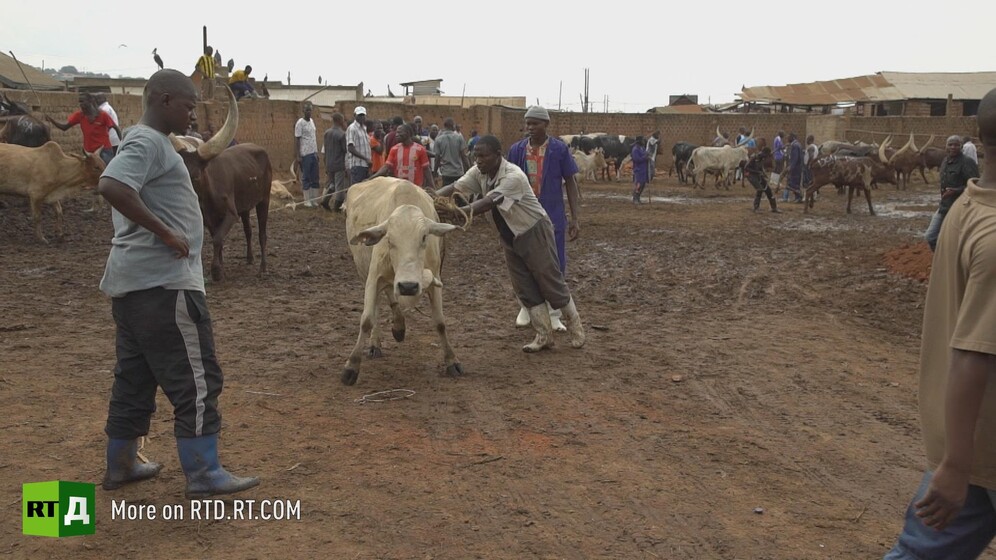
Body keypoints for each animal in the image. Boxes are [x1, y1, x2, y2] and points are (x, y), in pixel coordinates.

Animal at [342, 178, 462, 384]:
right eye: (389, 239)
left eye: (424, 237)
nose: (408, 286)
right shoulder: (373, 278)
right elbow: (366, 320)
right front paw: (352, 366)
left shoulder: (435, 280)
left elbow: (440, 322)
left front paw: (451, 361)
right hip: (364, 273)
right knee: (380, 303)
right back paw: (375, 343)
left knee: (391, 296)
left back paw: (398, 326)